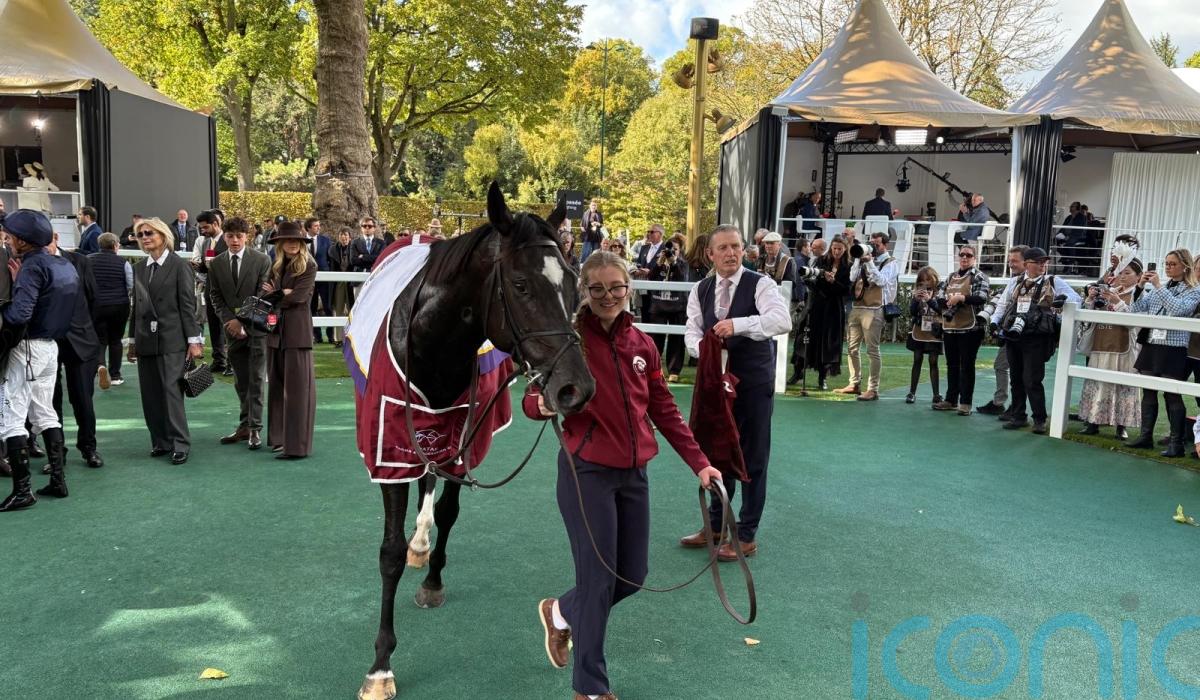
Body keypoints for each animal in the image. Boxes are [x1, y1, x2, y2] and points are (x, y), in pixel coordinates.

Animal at [354, 184, 595, 700]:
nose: (576, 388)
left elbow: (448, 511)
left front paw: (433, 579)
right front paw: (380, 666)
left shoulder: (462, 439)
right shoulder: (390, 448)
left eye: (572, 284)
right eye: (521, 285)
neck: (431, 346)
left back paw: (423, 543)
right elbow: (388, 553)